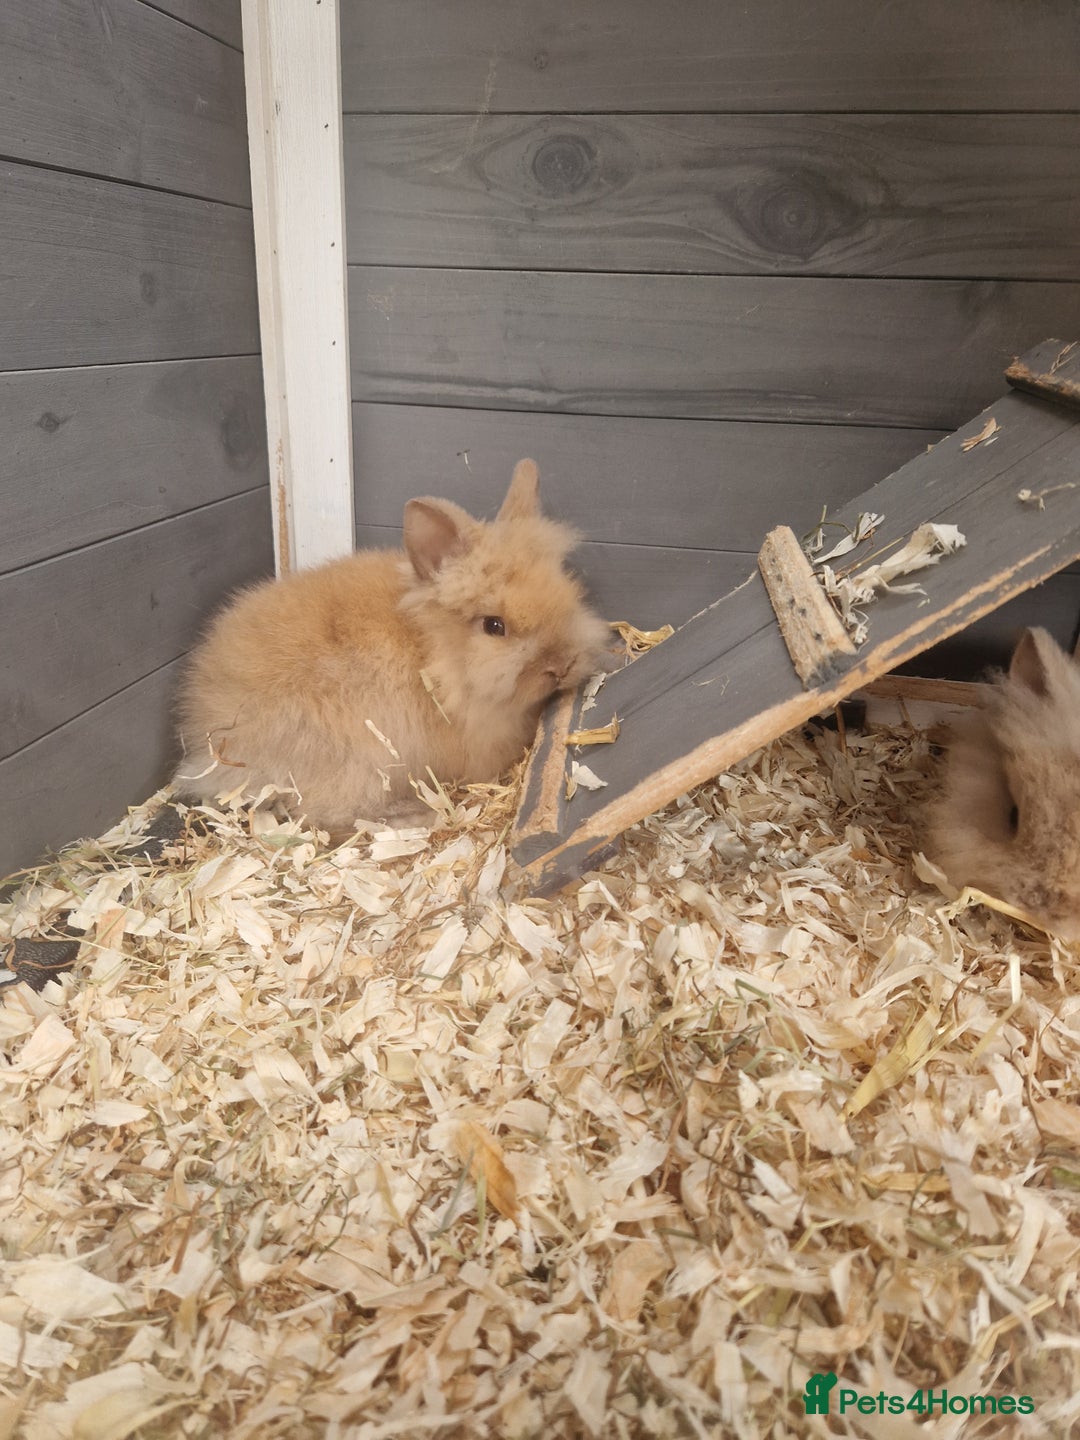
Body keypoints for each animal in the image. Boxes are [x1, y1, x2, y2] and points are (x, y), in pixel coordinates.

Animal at [173, 459, 610, 831]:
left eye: (569, 593)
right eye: (494, 626)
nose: (562, 665)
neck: (434, 657)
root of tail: (209, 740)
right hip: (357, 763)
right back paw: (416, 815)